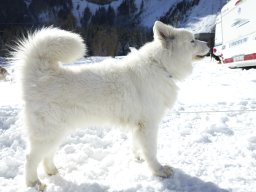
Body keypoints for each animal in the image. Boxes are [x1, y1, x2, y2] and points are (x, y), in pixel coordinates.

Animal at [12, 20, 210, 189]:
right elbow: (151, 151)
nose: (209, 45)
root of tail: (41, 75)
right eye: (192, 40)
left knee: (47, 155)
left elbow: (137, 145)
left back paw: (52, 171)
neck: (160, 65)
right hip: (48, 133)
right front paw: (158, 171)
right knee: (30, 158)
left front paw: (138, 158)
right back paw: (33, 183)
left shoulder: (138, 126)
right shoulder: (149, 124)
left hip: (58, 132)